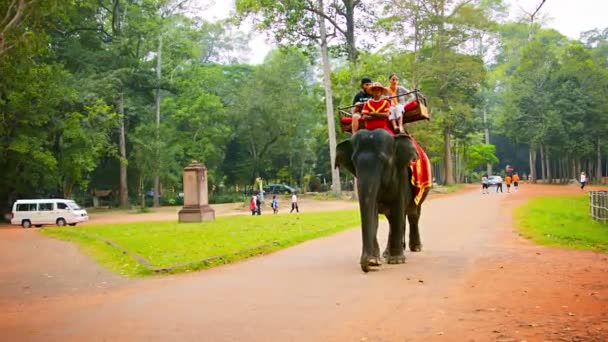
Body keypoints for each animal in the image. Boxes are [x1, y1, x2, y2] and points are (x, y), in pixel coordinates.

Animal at [334, 128, 430, 272]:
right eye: (354, 161)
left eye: (383, 160)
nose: (369, 266)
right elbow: (373, 213)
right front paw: (375, 260)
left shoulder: (402, 174)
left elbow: (398, 209)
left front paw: (396, 261)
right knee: (391, 219)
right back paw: (386, 253)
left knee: (413, 215)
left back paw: (416, 248)